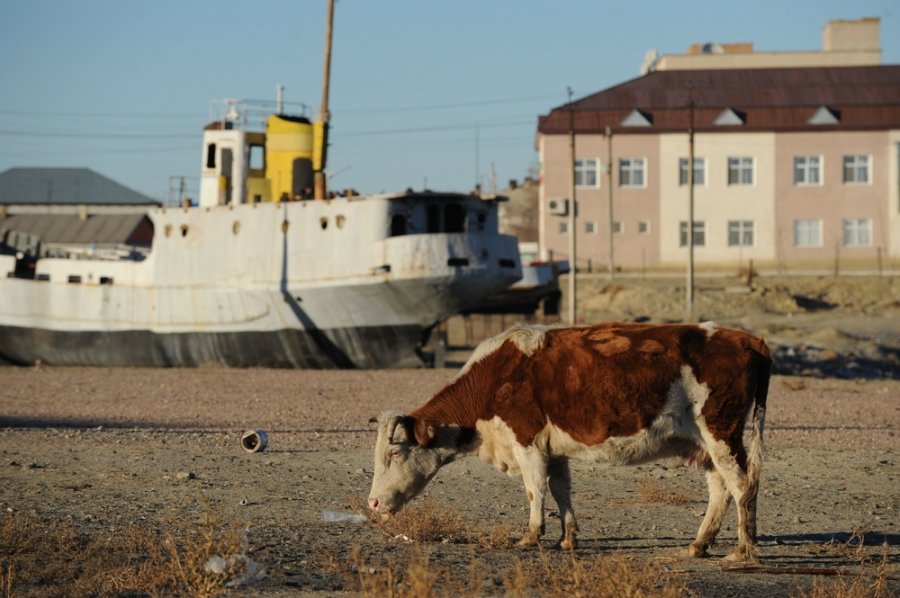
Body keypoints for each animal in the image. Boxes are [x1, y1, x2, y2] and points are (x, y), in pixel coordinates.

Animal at [370, 324, 768, 564]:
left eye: (395, 452)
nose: (371, 503)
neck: (495, 377)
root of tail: (748, 339)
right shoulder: (554, 450)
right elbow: (561, 490)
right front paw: (567, 538)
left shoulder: (527, 442)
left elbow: (535, 490)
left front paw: (531, 536)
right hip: (705, 445)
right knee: (720, 488)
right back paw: (699, 544)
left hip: (722, 433)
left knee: (742, 484)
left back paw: (743, 549)